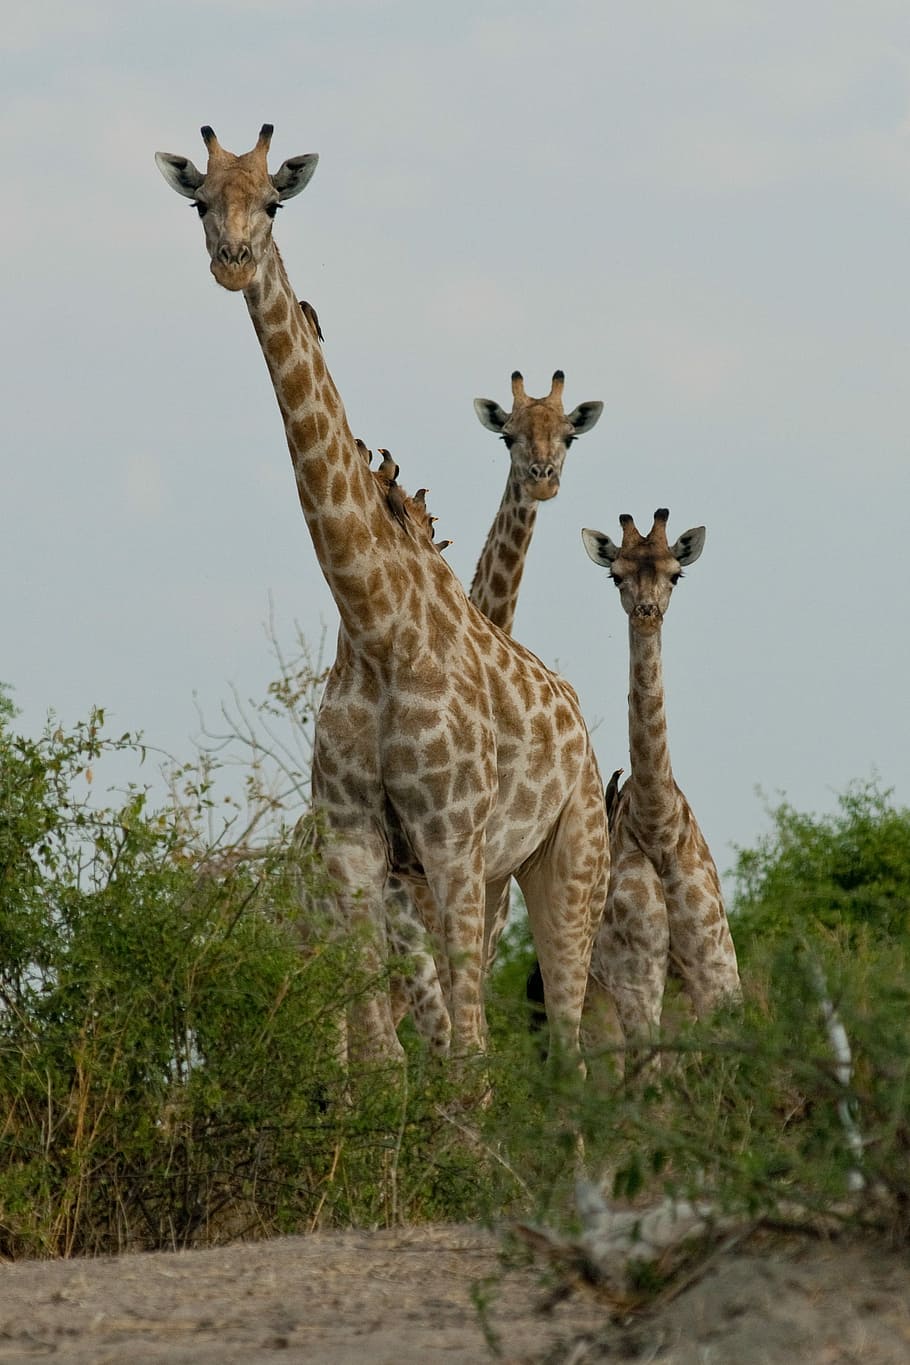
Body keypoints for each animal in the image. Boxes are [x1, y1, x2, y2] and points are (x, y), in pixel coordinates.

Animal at [155, 125, 609, 1065]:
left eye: (276, 201)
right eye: (199, 202)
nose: (233, 260)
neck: (374, 621)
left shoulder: (451, 840)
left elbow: (463, 1052)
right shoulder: (360, 851)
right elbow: (385, 1060)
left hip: (568, 856)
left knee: (570, 1042)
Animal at [580, 509, 741, 1045]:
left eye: (676, 574)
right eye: (616, 575)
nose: (647, 611)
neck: (658, 825)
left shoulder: (716, 966)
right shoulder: (634, 976)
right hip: (592, 989)